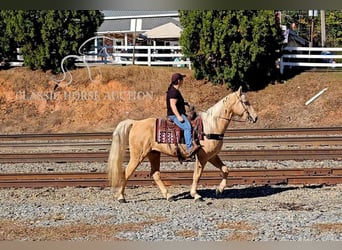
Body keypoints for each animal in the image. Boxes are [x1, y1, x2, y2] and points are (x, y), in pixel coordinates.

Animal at [107, 86, 256, 203]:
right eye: (246, 102)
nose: (255, 117)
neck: (210, 126)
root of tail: (136, 123)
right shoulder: (202, 157)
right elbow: (197, 175)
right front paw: (196, 195)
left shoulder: (212, 156)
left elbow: (225, 169)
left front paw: (219, 190)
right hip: (138, 155)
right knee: (127, 172)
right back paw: (121, 197)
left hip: (153, 154)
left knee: (155, 174)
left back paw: (169, 196)